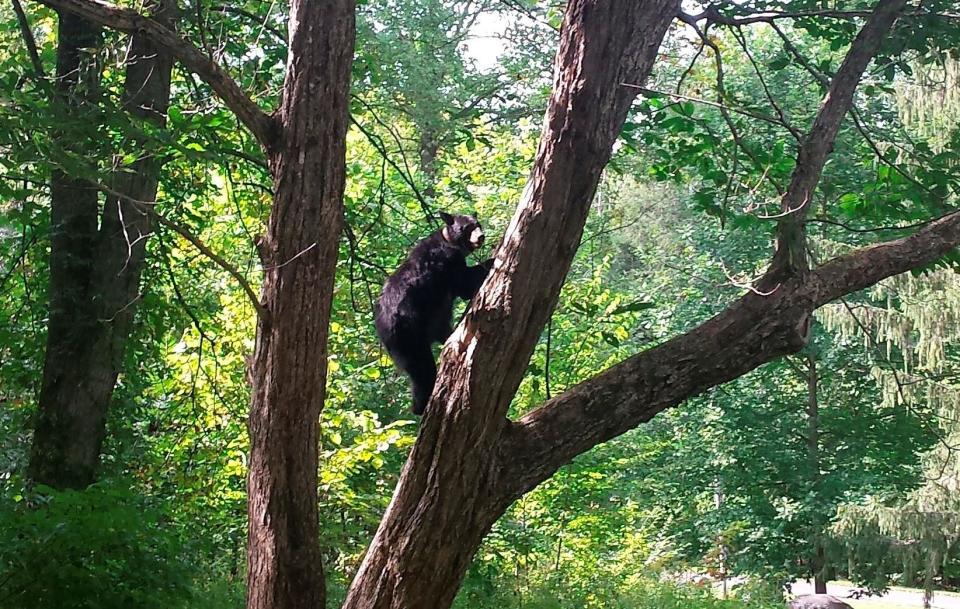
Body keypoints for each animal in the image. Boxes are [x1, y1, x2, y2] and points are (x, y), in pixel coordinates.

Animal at [376, 211, 496, 416]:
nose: (481, 236)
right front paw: (492, 259)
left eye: (477, 224)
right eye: (468, 227)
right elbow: (465, 282)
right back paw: (420, 405)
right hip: (407, 334)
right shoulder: (448, 262)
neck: (449, 242)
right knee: (422, 369)